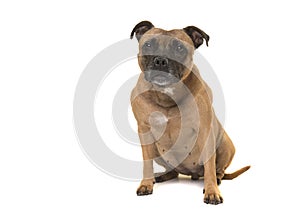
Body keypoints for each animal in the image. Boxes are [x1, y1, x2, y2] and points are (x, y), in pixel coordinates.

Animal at [130, 20, 250, 205]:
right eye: (148, 45)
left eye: (180, 48)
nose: (161, 61)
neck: (166, 95)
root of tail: (190, 173)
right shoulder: (144, 131)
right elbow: (146, 164)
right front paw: (146, 184)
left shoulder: (206, 130)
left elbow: (209, 165)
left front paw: (212, 191)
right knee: (172, 171)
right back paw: (161, 176)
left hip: (225, 144)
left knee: (217, 169)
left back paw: (217, 179)